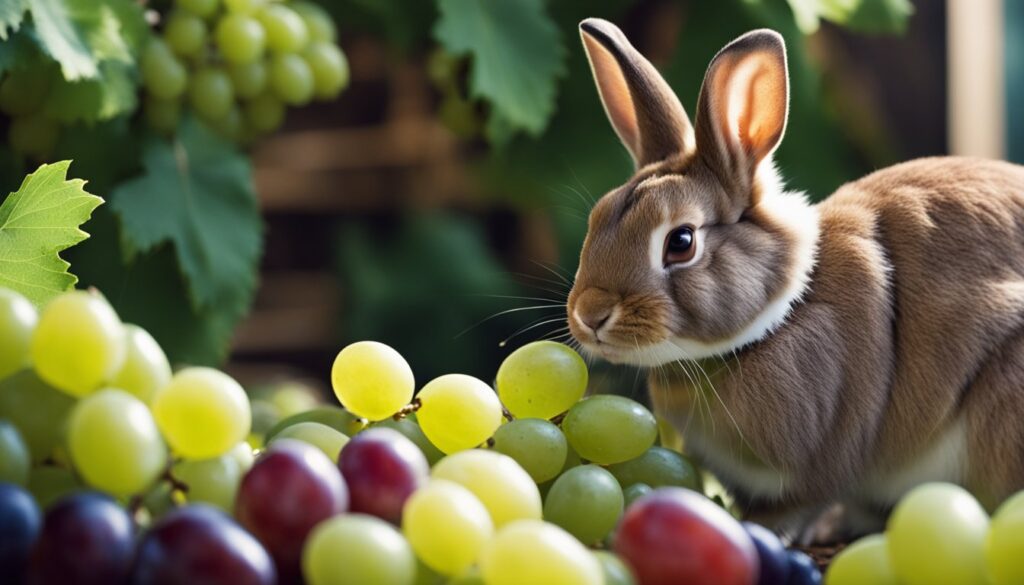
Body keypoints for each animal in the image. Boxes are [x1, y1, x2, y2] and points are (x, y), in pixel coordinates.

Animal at [567, 17, 1024, 537]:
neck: (777, 320)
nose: (590, 315)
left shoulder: (814, 469)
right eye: (598, 218)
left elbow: (796, 507)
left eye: (681, 241)